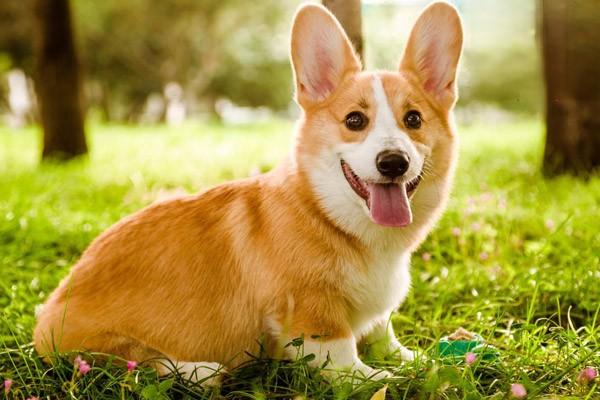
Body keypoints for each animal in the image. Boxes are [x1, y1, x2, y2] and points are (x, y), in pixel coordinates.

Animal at [34, 1, 464, 386]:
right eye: (355, 120)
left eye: (414, 119)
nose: (393, 162)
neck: (332, 216)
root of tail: (46, 312)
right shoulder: (311, 315)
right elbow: (345, 359)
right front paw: (381, 378)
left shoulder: (375, 317)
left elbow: (383, 335)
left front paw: (424, 361)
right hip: (99, 347)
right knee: (133, 361)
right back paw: (197, 370)